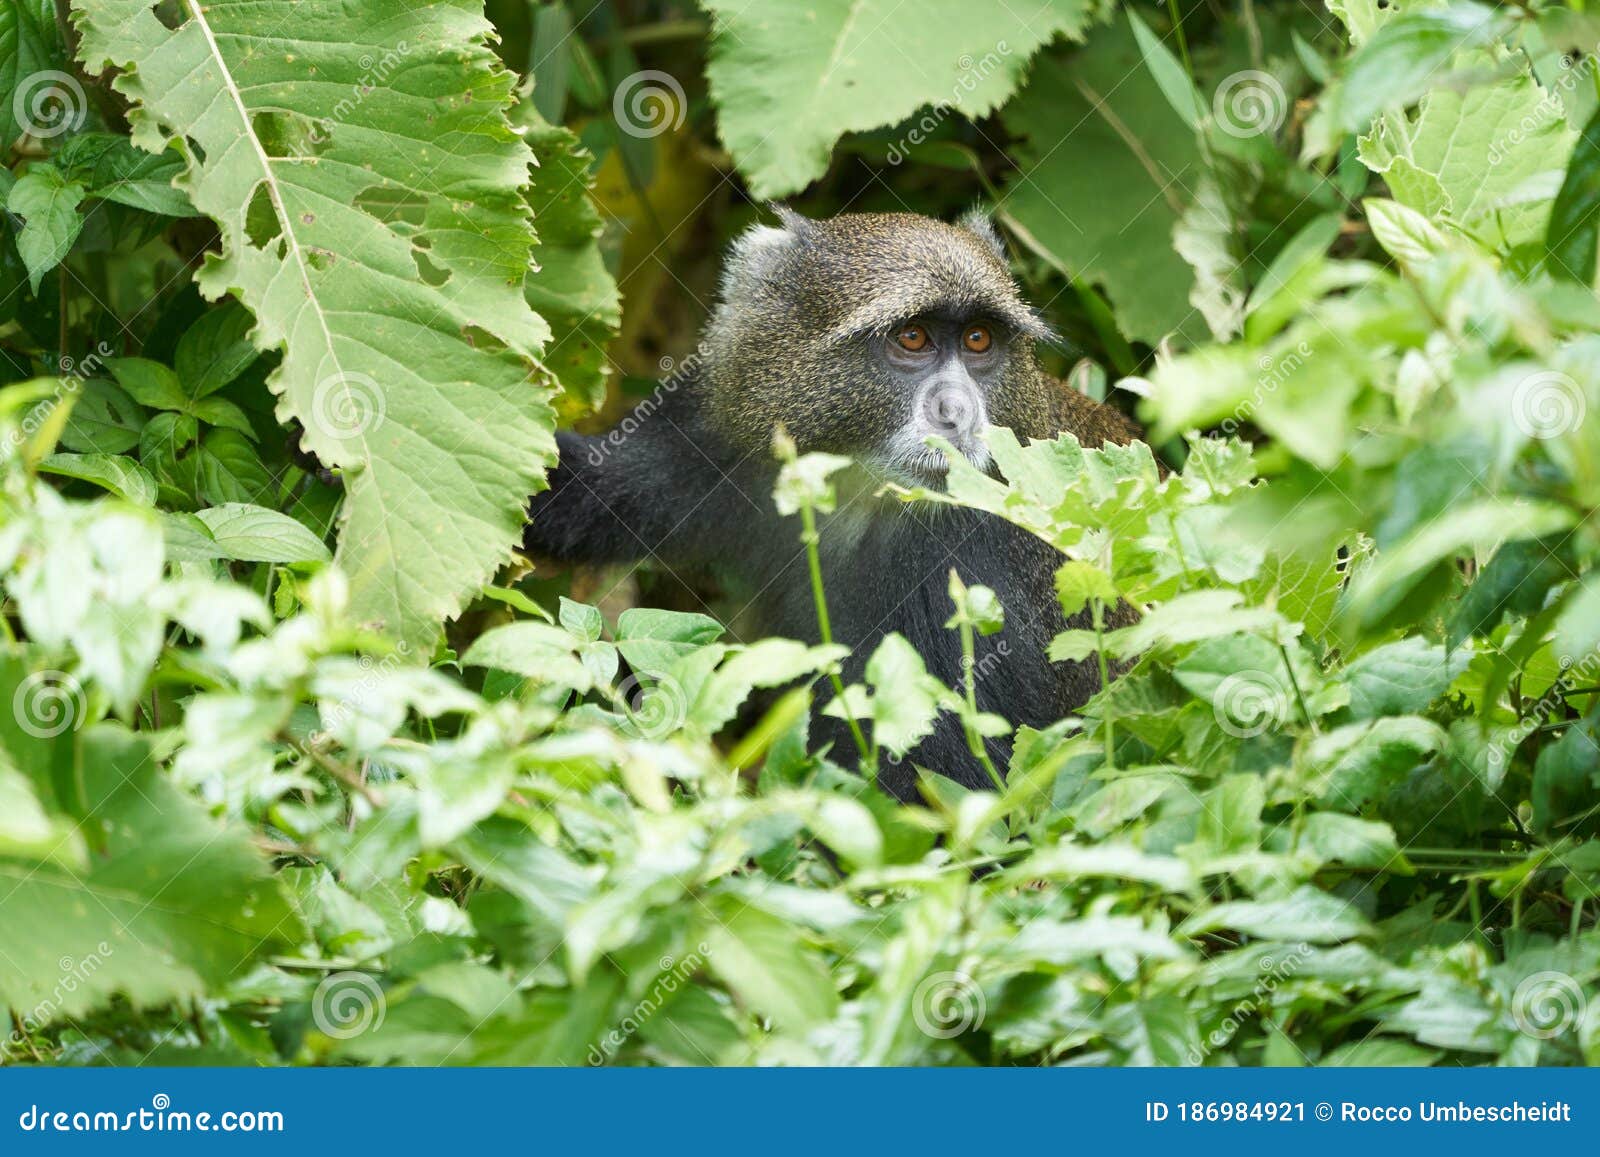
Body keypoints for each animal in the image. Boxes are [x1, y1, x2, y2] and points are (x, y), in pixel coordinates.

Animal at [524, 208, 1143, 801]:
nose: (958, 413)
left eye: (978, 341)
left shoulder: (974, 564)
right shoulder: (718, 437)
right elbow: (579, 491)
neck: (855, 487)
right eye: (912, 338)